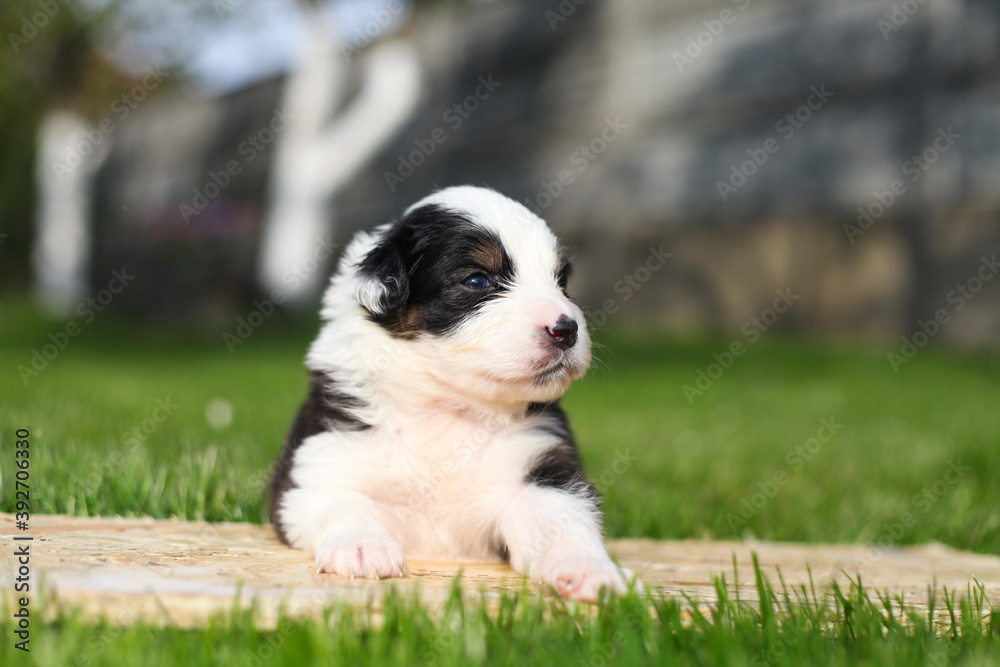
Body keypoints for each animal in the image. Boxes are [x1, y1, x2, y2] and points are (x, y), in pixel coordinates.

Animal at [270, 185, 636, 604]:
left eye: (561, 281)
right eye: (477, 281)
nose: (566, 329)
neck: (447, 407)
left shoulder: (541, 471)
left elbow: (559, 522)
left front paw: (591, 570)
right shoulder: (319, 464)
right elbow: (345, 500)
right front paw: (362, 547)